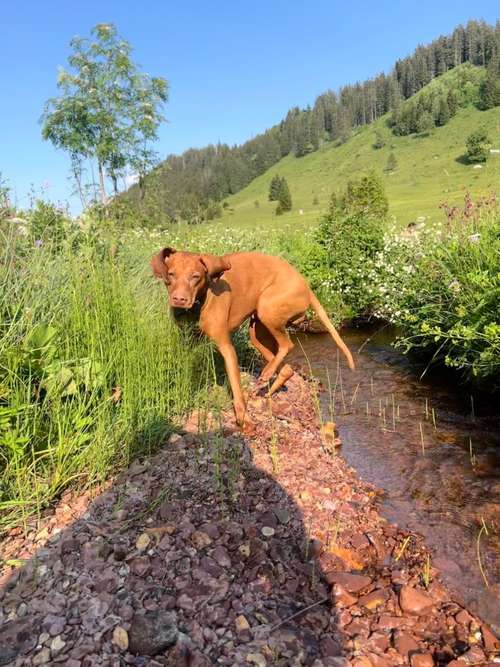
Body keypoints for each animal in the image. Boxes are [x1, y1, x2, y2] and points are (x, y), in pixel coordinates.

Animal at [152, 250, 356, 428]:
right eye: (171, 274)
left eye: (195, 276)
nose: (179, 299)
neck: (199, 302)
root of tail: (305, 284)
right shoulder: (187, 342)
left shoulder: (227, 347)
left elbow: (236, 388)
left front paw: (243, 418)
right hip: (257, 331)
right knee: (285, 366)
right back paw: (269, 384)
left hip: (267, 307)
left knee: (287, 345)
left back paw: (267, 375)